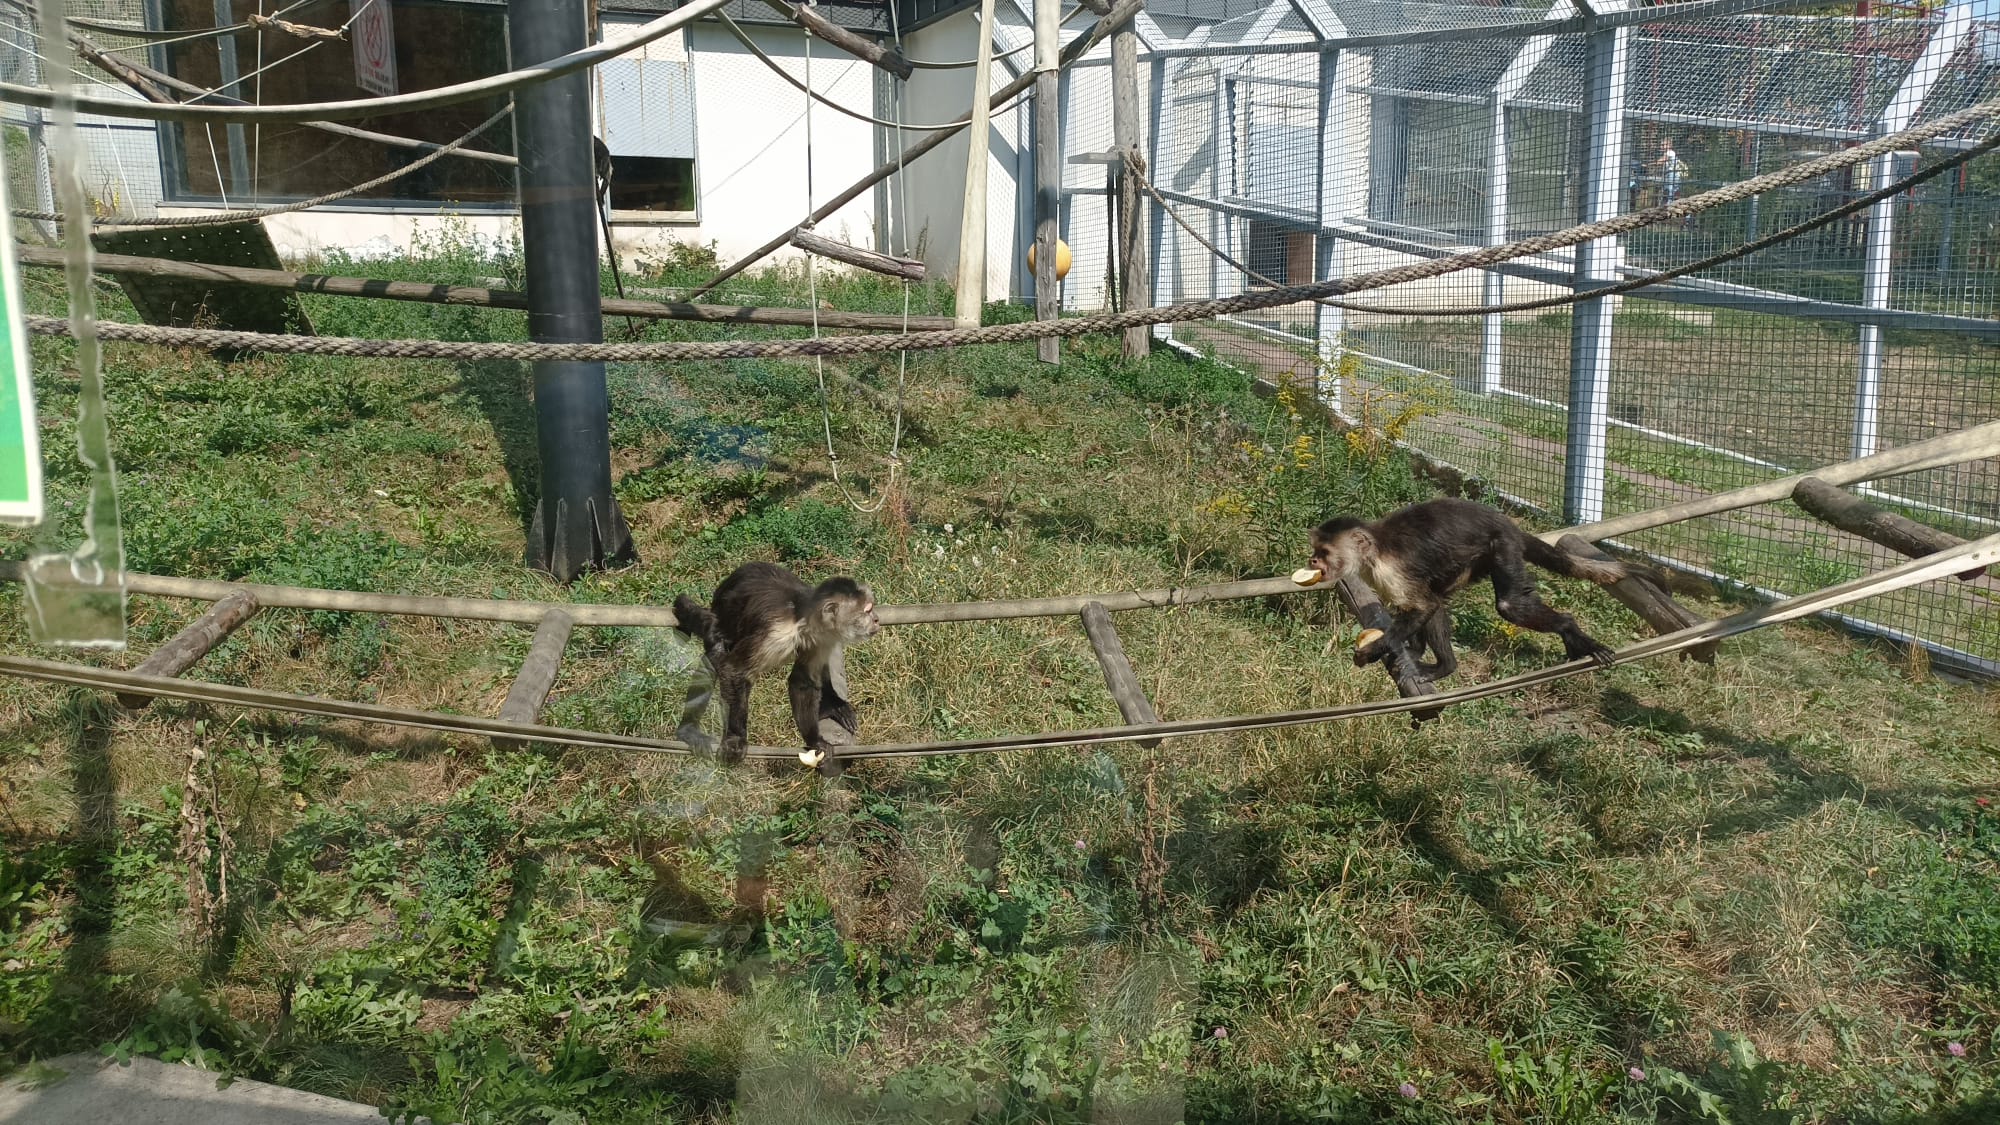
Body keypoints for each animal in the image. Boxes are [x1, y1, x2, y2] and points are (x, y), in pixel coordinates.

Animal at [668, 556, 880, 760]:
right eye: (868, 611)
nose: (877, 619)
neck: (802, 620)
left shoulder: (821, 639)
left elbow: (802, 681)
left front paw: (814, 740)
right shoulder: (776, 634)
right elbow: (733, 670)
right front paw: (735, 738)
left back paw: (832, 705)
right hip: (721, 614)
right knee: (716, 655)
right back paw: (689, 730)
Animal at [1304, 496, 1632, 672]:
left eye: (1325, 553)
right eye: (1316, 551)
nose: (1313, 560)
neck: (1373, 551)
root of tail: (1508, 524)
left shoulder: (1390, 571)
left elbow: (1424, 606)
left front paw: (1372, 651)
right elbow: (1425, 606)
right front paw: (1413, 651)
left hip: (1504, 546)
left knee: (1509, 605)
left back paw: (1567, 627)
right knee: (1440, 596)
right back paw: (1444, 668)